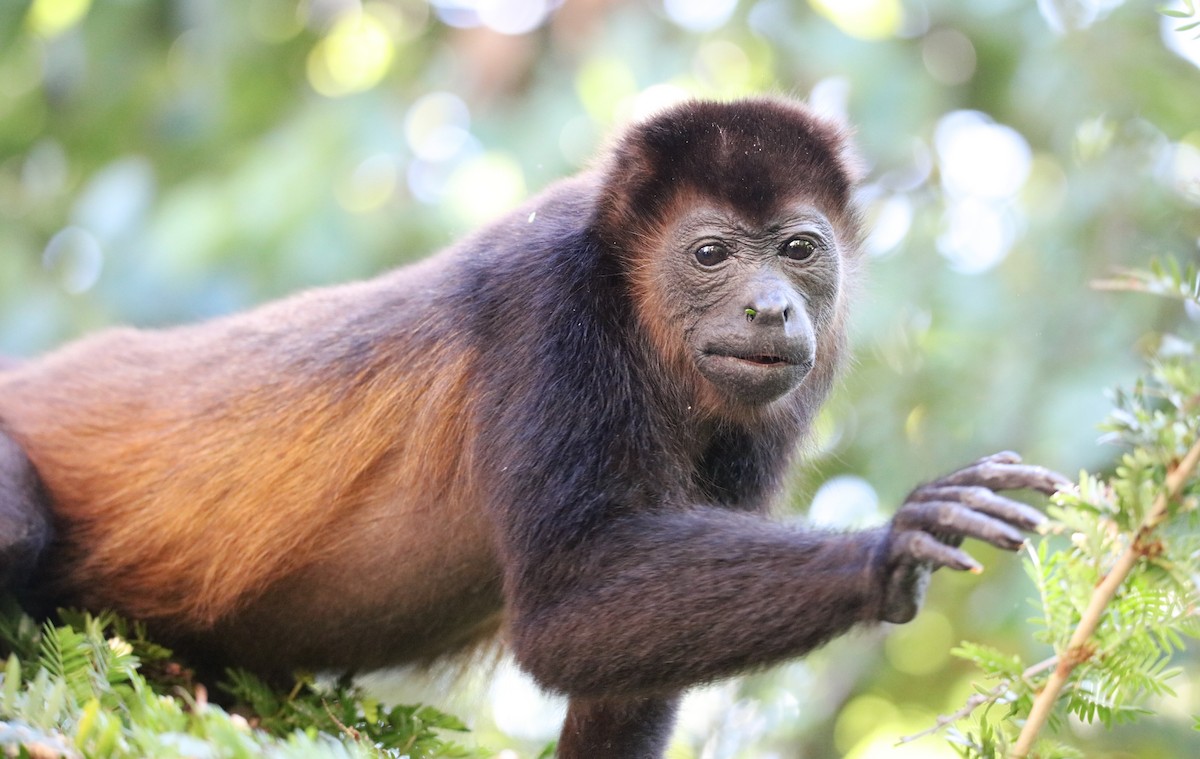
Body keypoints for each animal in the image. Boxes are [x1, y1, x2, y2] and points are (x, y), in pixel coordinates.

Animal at [0, 97, 1068, 757]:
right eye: (712, 254)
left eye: (800, 248)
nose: (771, 308)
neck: (634, 309)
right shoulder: (548, 307)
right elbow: (560, 608)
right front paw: (890, 545)